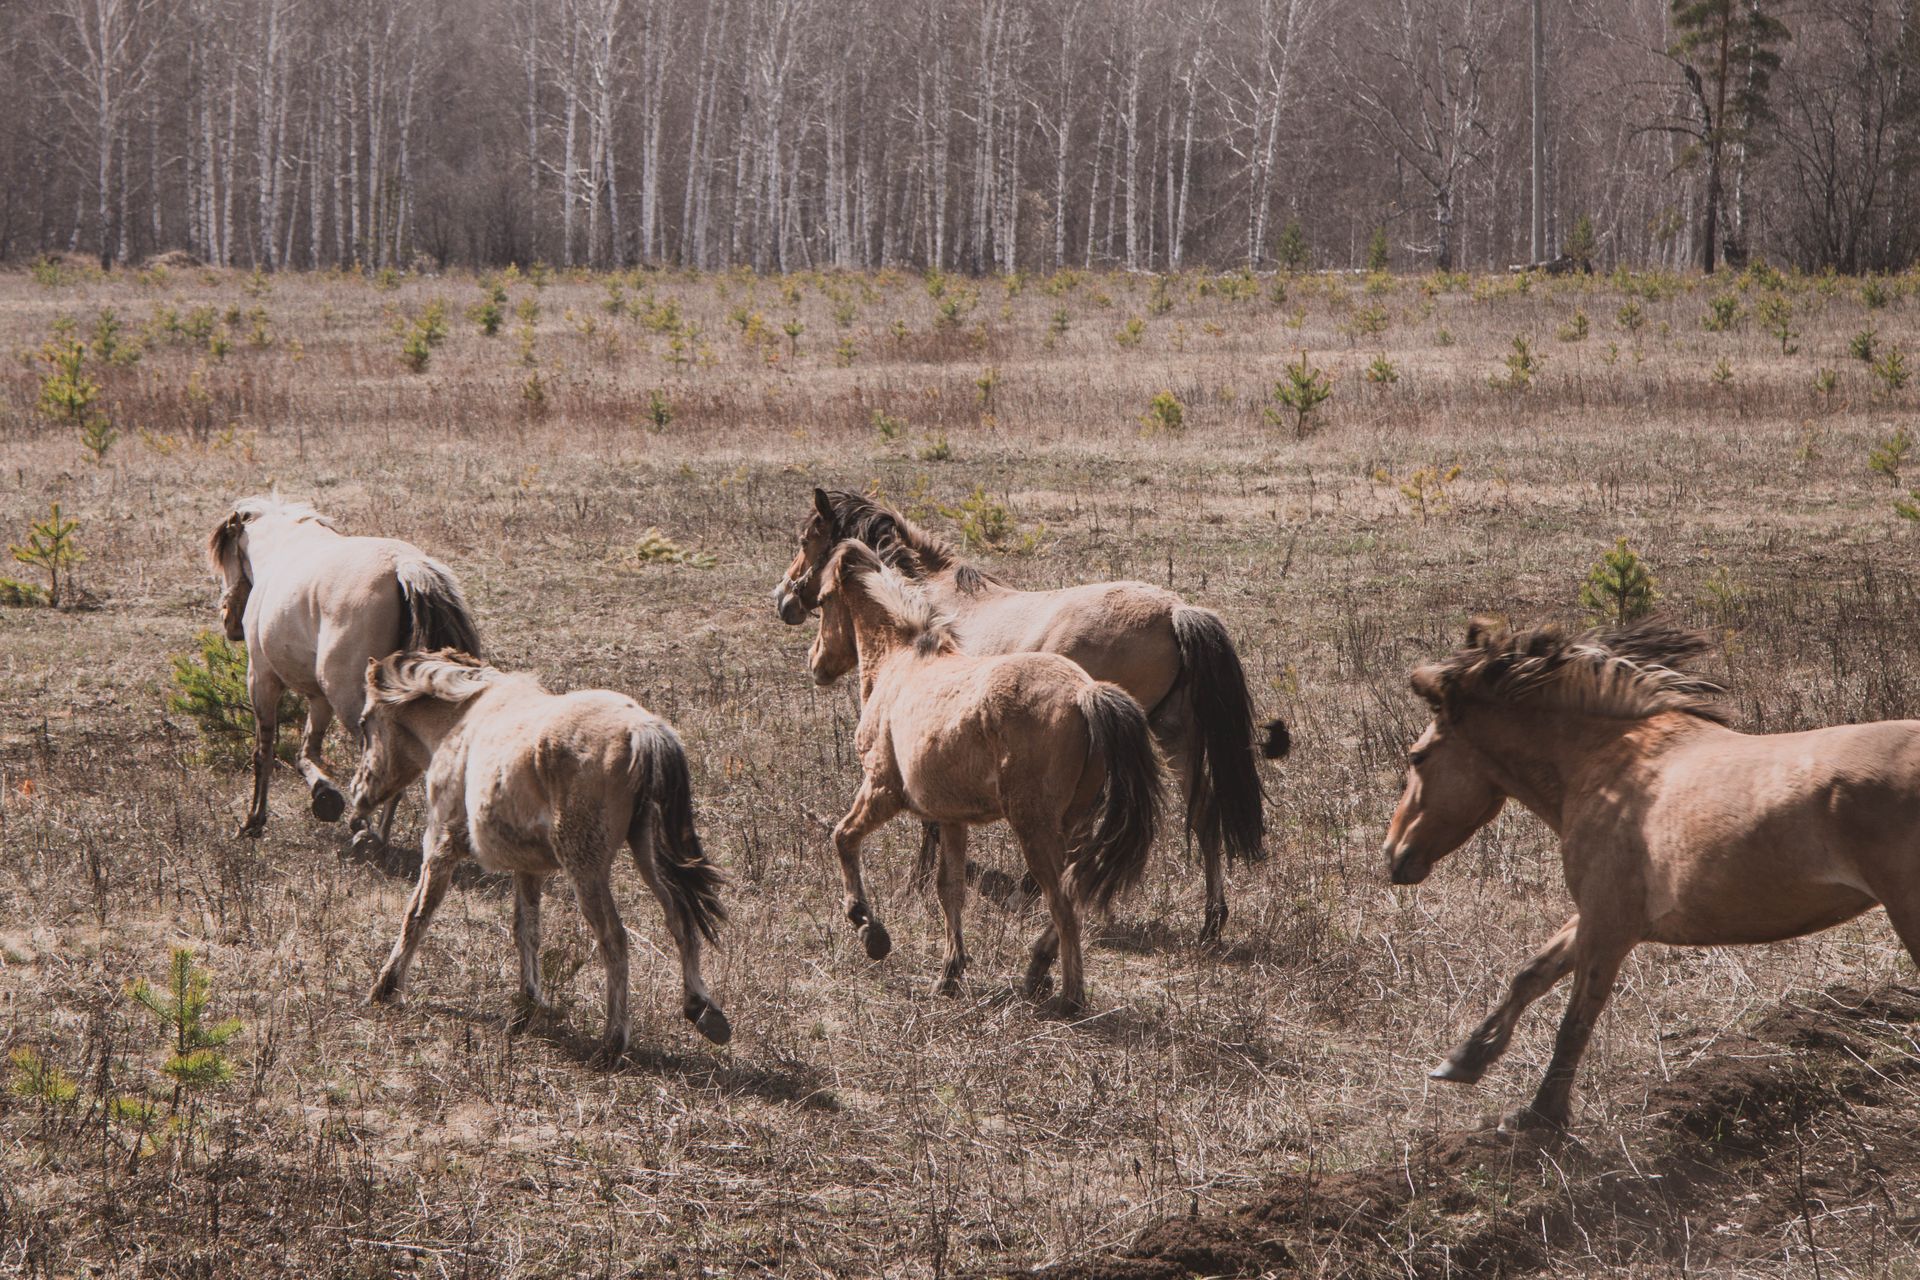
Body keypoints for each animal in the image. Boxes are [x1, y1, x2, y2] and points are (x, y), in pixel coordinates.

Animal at [207, 496, 482, 842]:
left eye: (225, 560)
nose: (228, 619)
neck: (281, 547)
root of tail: (403, 567)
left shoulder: (261, 679)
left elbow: (263, 752)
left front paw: (253, 821)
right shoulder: (319, 698)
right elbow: (307, 753)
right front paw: (324, 796)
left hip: (347, 698)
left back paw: (363, 829)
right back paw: (378, 836)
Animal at [349, 650, 731, 1063]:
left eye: (364, 723)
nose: (356, 794)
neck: (463, 720)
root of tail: (643, 730)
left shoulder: (440, 846)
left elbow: (418, 913)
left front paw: (386, 988)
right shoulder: (528, 869)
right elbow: (527, 930)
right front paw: (529, 1006)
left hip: (586, 870)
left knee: (614, 938)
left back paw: (612, 1043)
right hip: (648, 854)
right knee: (680, 919)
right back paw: (701, 1011)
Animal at [775, 488, 1286, 942]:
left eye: (807, 539)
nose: (784, 599)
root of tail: (1177, 611)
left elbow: (929, 820)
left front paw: (915, 884)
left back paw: (1034, 897)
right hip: (1175, 735)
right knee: (1203, 814)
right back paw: (1211, 921)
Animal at [810, 539, 1162, 1014]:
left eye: (822, 600)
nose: (816, 664)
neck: (902, 663)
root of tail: (1086, 693)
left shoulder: (882, 789)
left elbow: (843, 837)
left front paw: (870, 929)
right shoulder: (951, 817)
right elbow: (950, 888)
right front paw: (949, 973)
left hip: (1034, 825)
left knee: (1063, 902)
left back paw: (1069, 998)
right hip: (1073, 823)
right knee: (1075, 889)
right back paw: (1037, 972)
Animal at [1384, 616, 1920, 1133]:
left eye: (1417, 756)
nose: (1393, 854)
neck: (1611, 767)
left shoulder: (1609, 924)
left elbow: (1576, 1019)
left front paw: (1541, 1116)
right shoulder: (1598, 914)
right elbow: (1531, 974)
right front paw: (1463, 1061)